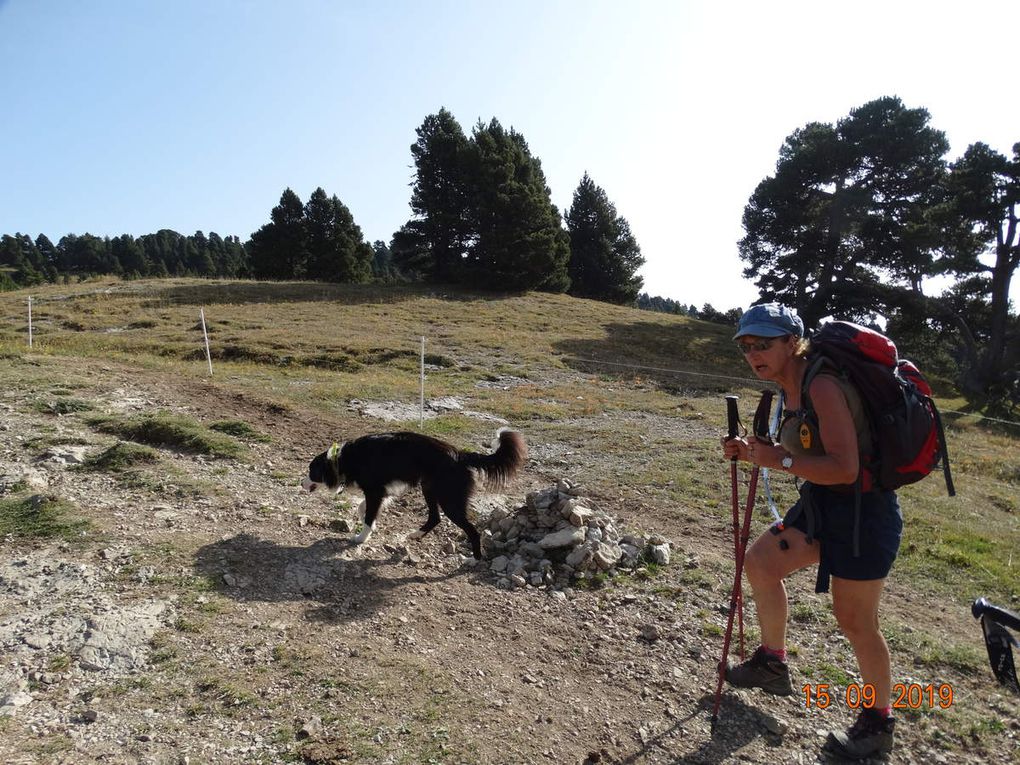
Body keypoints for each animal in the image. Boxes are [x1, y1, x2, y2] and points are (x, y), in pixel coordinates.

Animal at [297, 428, 526, 558]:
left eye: (311, 471)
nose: (301, 483)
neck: (342, 460)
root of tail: (460, 454)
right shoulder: (382, 491)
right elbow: (364, 509)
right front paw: (369, 524)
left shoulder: (374, 491)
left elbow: (369, 515)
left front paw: (362, 537)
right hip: (429, 488)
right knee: (435, 518)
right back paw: (416, 534)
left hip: (449, 500)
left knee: (472, 531)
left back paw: (474, 559)